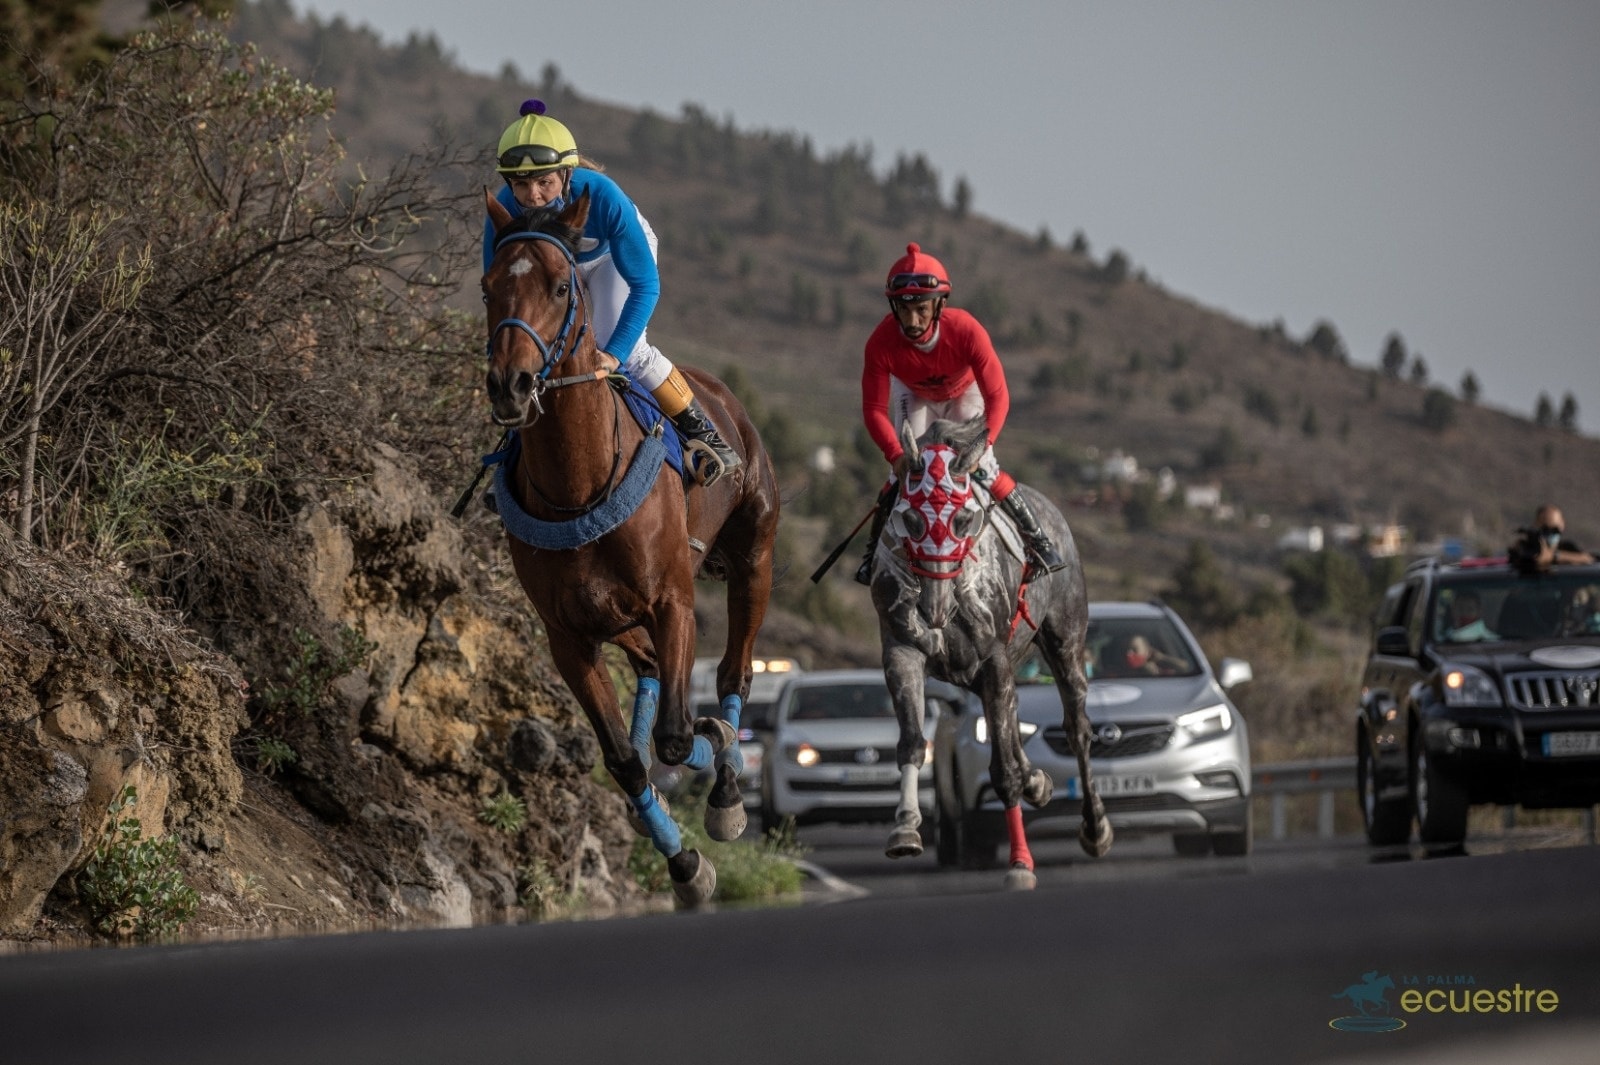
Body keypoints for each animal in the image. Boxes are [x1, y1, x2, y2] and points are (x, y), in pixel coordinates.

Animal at [480, 191, 780, 901]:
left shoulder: (673, 602)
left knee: (734, 672)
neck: (580, 484)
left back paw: (726, 777)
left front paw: (709, 758)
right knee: (645, 669)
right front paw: (685, 865)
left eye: (561, 287)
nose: (510, 384)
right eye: (487, 286)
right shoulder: (569, 636)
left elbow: (675, 737)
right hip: (613, 614)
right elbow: (623, 758)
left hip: (754, 557)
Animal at [870, 415, 1107, 889]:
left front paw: (1020, 863)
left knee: (1076, 727)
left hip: (1064, 641)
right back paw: (1039, 782)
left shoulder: (993, 658)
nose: (934, 609)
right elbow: (912, 742)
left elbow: (1004, 773)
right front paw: (905, 828)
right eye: (909, 518)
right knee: (1012, 715)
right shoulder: (903, 653)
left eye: (963, 518)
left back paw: (1094, 827)